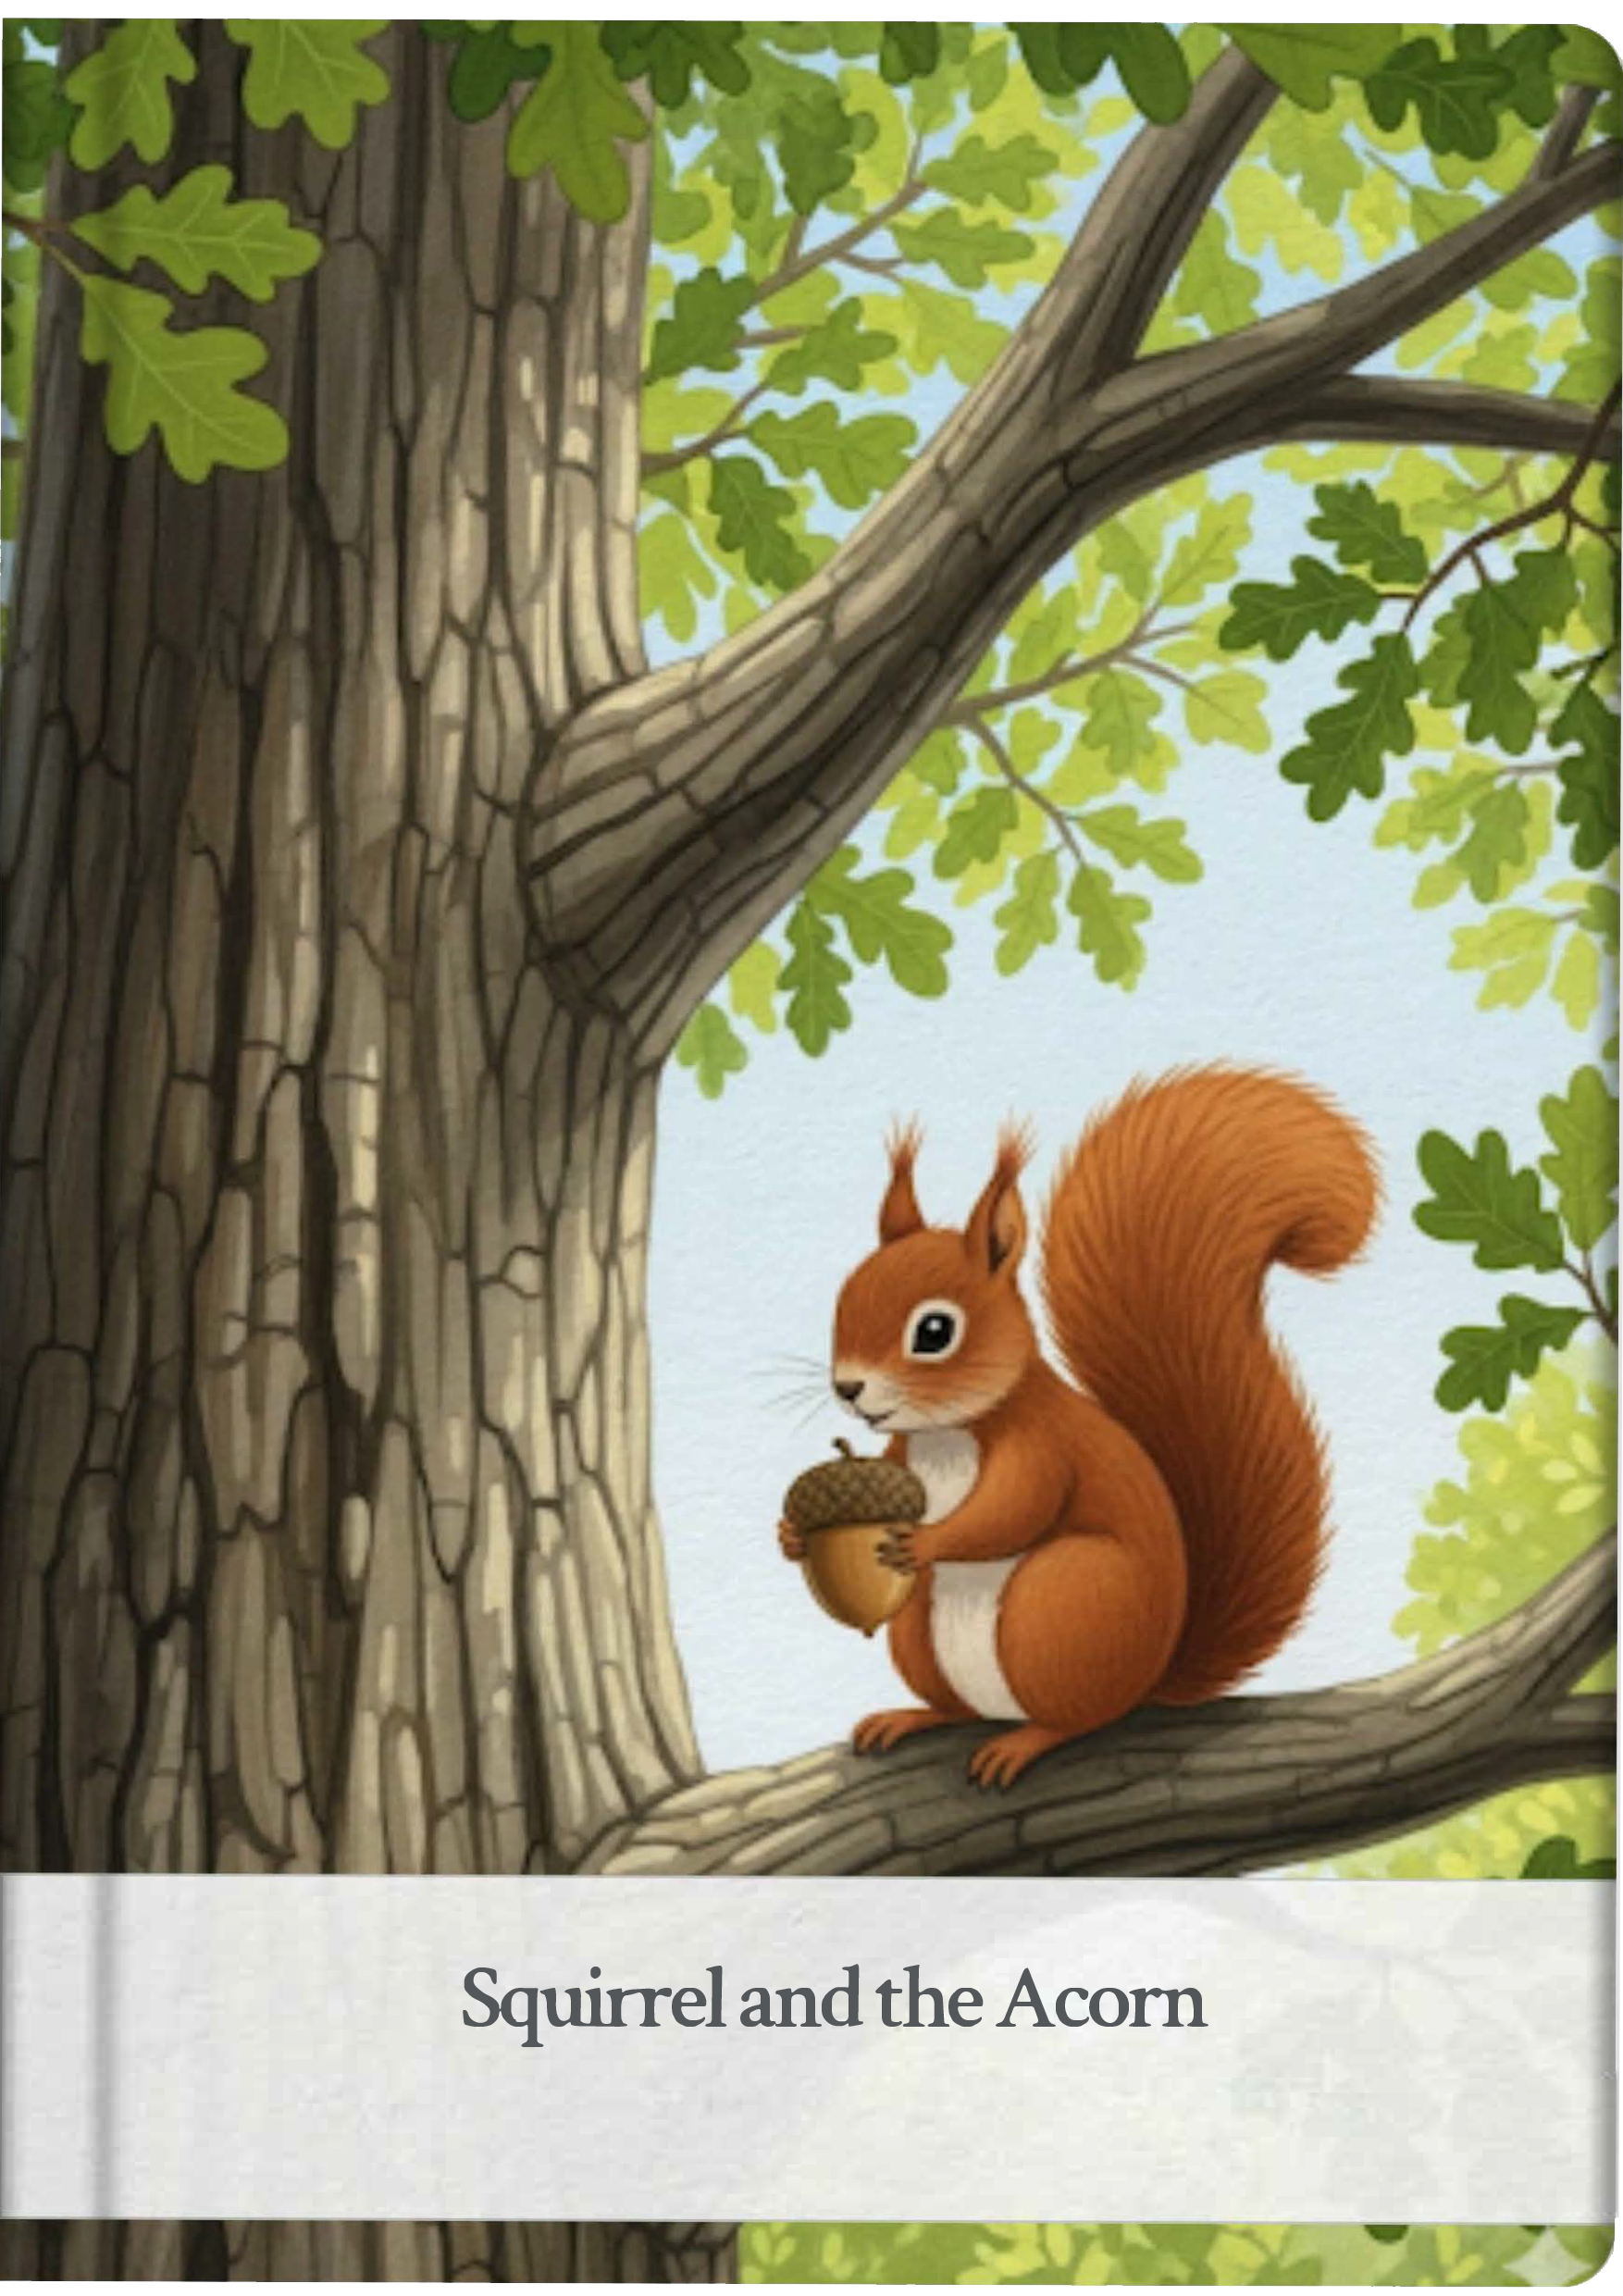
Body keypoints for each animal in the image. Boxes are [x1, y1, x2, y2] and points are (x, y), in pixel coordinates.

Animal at [779, 1065, 1378, 1789]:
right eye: (844, 1298)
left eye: (934, 1330)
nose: (849, 1387)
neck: (948, 1432)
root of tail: (1152, 1677)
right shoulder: (900, 1453)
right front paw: (790, 1535)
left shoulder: (1043, 1445)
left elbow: (1013, 1509)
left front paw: (928, 1541)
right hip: (918, 1631)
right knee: (958, 1704)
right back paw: (915, 1716)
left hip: (1062, 1600)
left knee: (1079, 1716)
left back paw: (1024, 1742)